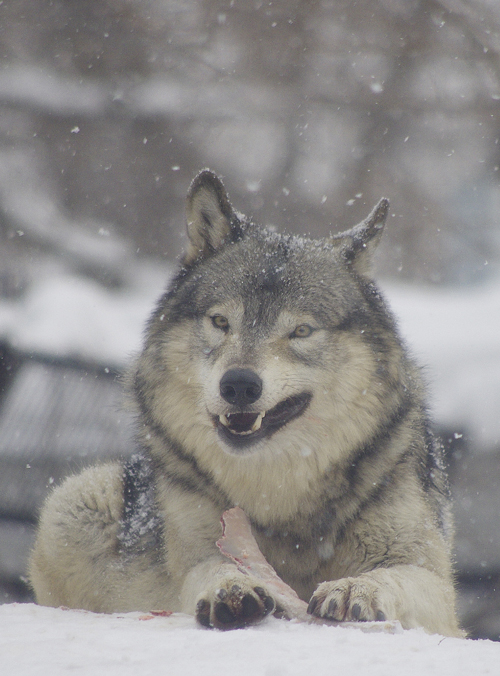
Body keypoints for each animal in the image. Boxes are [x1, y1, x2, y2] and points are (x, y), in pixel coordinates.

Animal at [29, 169, 462, 632]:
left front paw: (354, 588)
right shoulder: (198, 550)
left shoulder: (435, 586)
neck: (277, 494)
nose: (238, 385)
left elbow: (397, 575)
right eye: (220, 321)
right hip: (76, 500)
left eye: (301, 331)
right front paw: (231, 587)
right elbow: (212, 566)